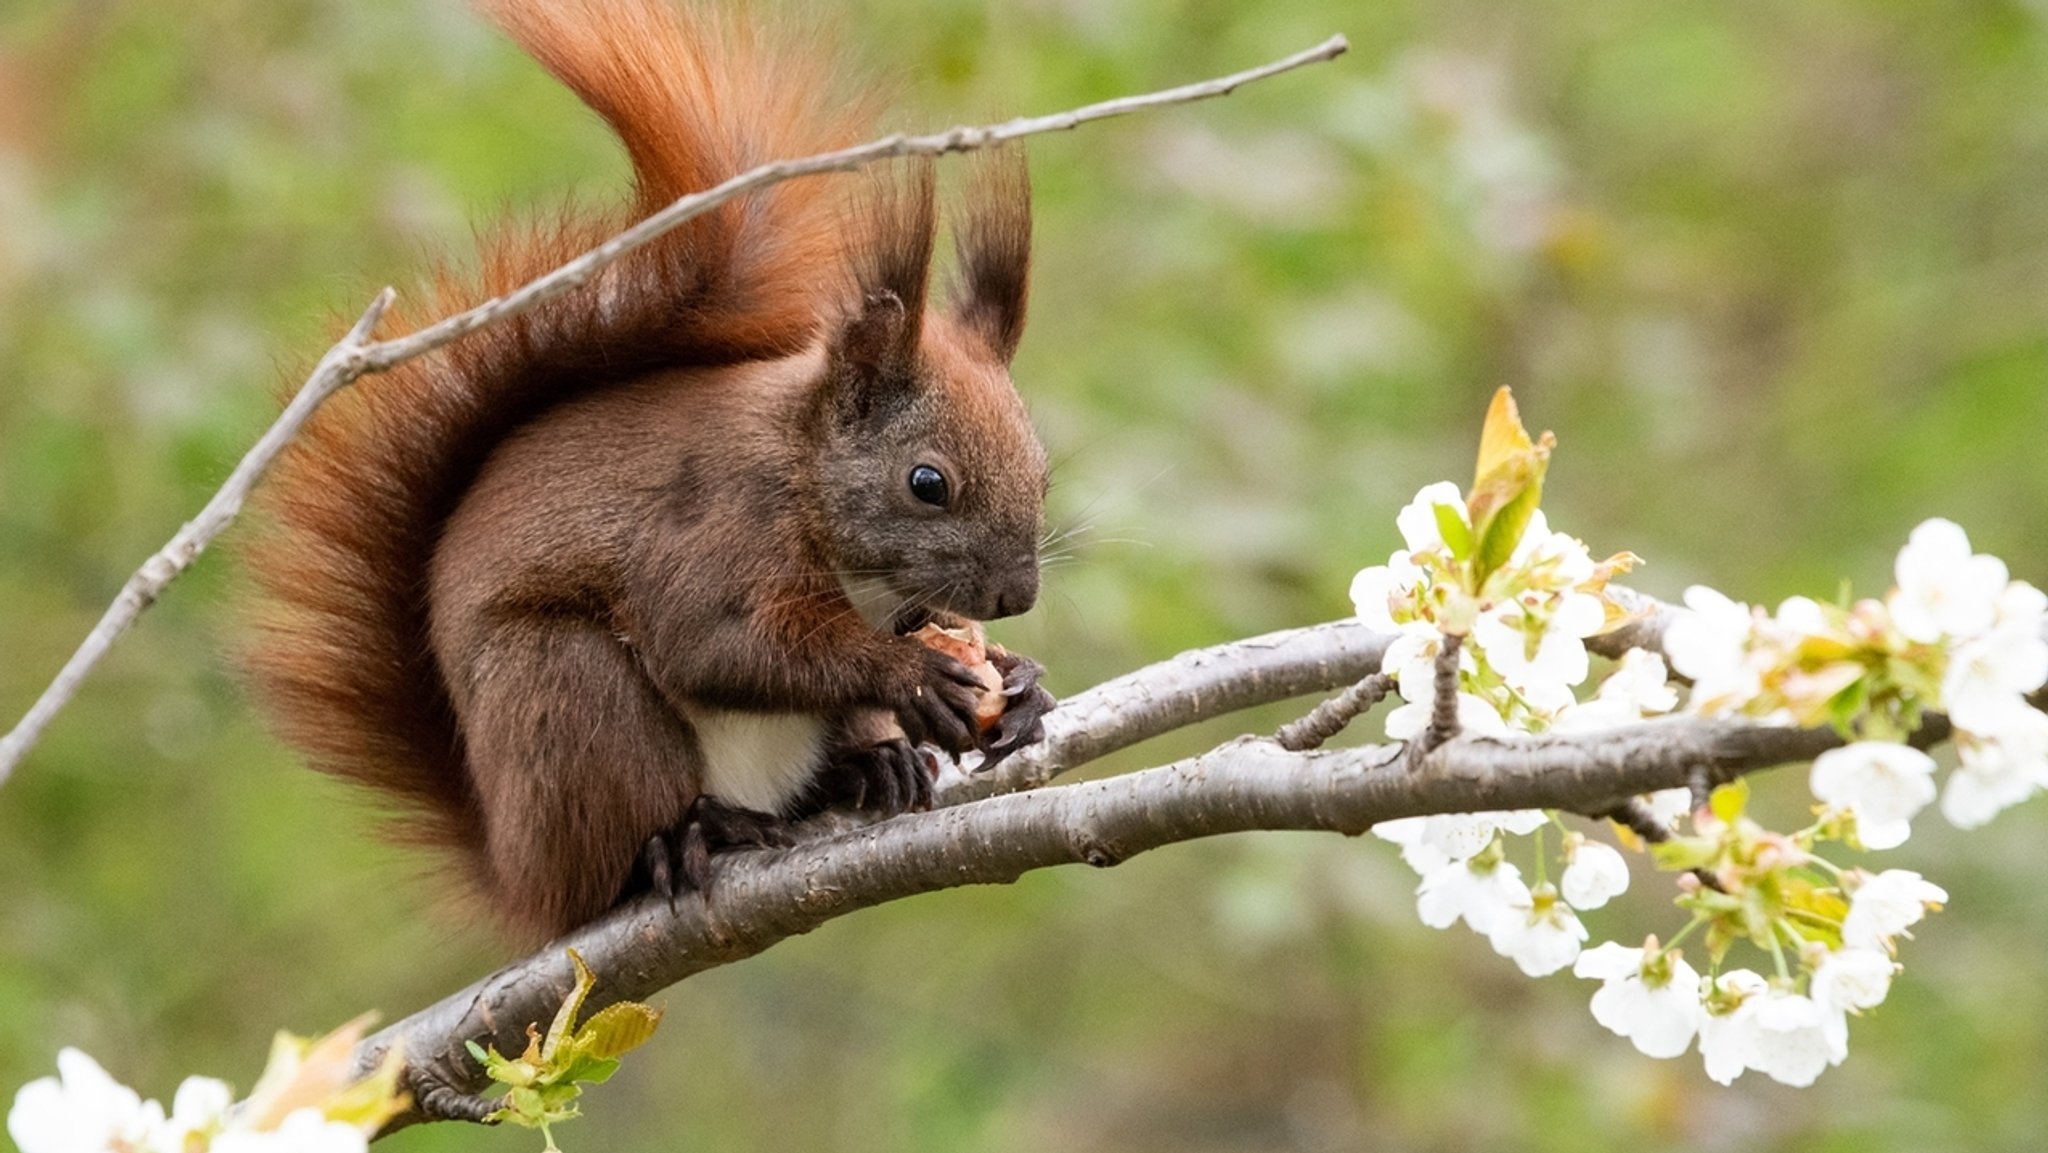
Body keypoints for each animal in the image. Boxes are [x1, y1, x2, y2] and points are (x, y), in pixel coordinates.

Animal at [243, 0, 1056, 946]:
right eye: (928, 483)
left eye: (1043, 472)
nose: (1015, 596)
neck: (803, 473)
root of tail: (519, 873)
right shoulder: (712, 532)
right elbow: (717, 641)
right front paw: (913, 674)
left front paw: (1018, 682)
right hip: (565, 693)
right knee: (622, 841)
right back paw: (695, 834)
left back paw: (869, 768)